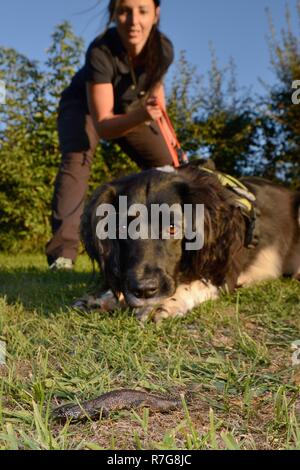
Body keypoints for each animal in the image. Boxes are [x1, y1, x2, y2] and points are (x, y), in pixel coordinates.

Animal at [78, 163, 300, 322]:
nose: (144, 290)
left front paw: (163, 303)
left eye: (172, 228)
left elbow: (194, 284)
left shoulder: (224, 270)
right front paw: (104, 297)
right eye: (122, 229)